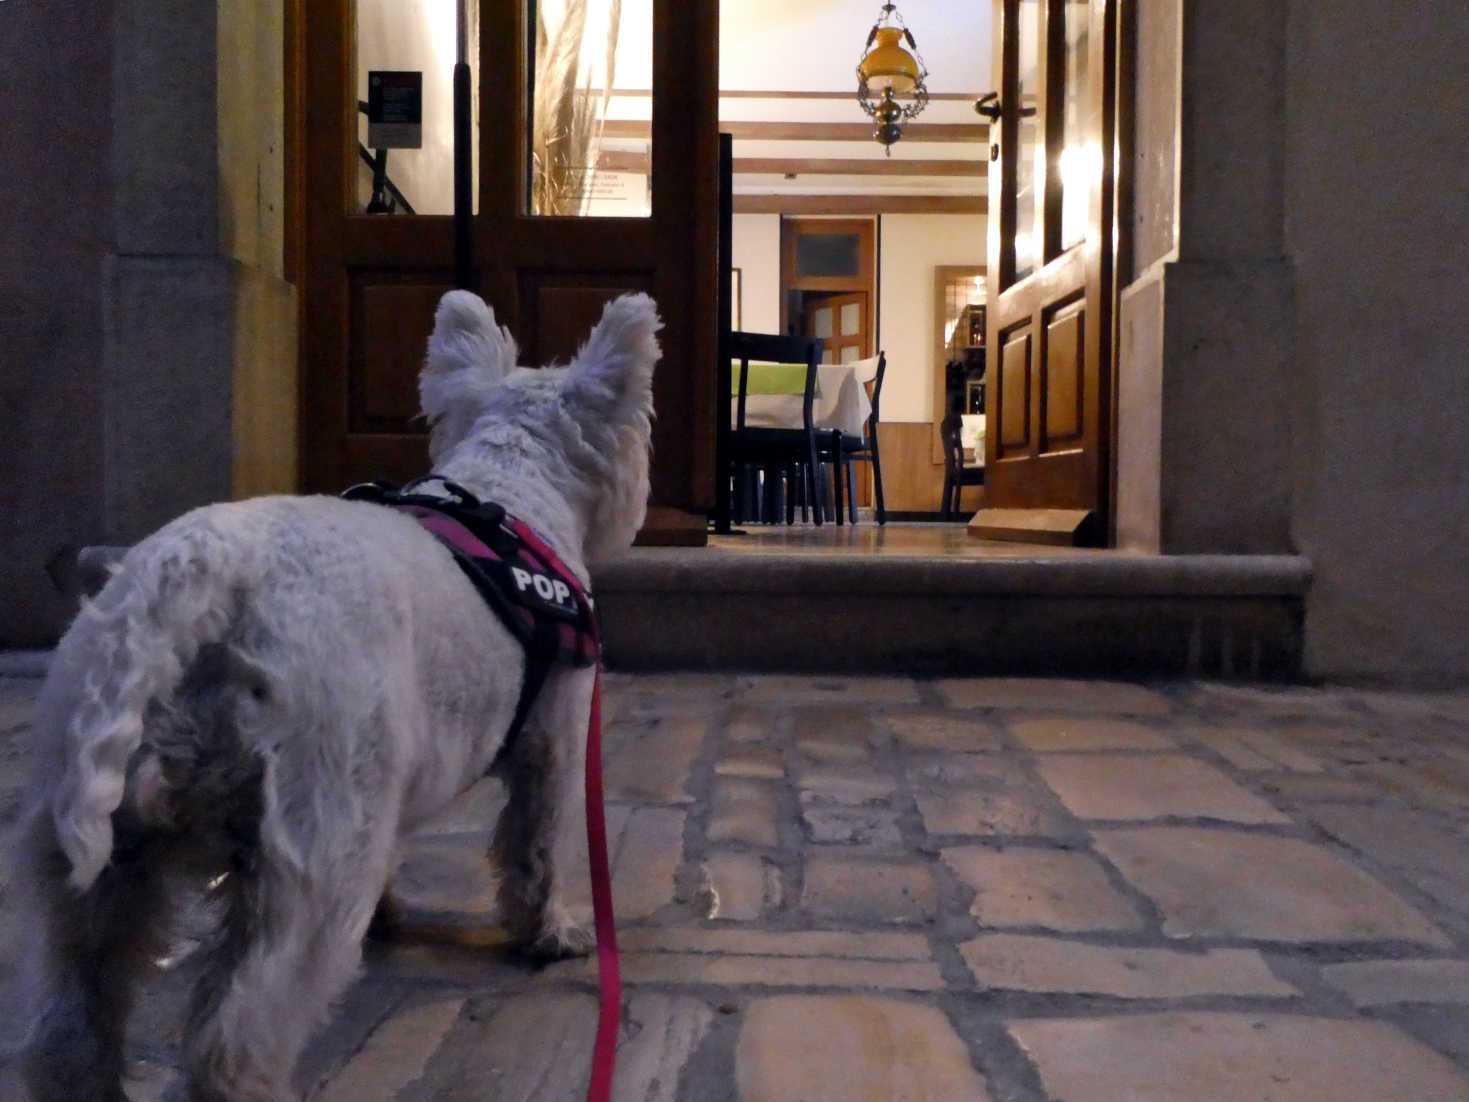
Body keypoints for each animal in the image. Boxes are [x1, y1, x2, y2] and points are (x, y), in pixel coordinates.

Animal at [12, 289, 661, 1099]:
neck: (512, 495)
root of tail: (198, 570)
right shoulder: (553, 740)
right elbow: (533, 847)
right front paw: (550, 933)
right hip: (314, 842)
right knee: (235, 1035)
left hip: (86, 846)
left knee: (67, 1021)